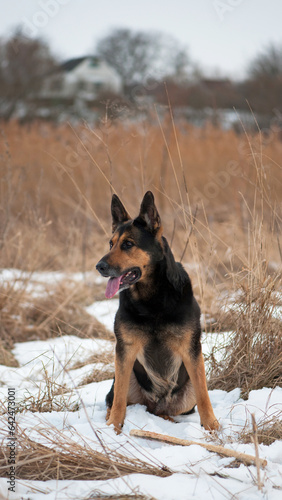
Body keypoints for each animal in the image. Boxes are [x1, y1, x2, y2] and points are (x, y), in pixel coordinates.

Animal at [96, 191, 219, 434]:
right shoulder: (124, 350)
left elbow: (204, 396)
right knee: (115, 398)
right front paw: (113, 428)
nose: (99, 266)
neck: (151, 300)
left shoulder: (192, 351)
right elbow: (119, 400)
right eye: (111, 244)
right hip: (124, 376)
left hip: (186, 392)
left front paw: (212, 428)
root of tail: (156, 404)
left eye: (128, 244)